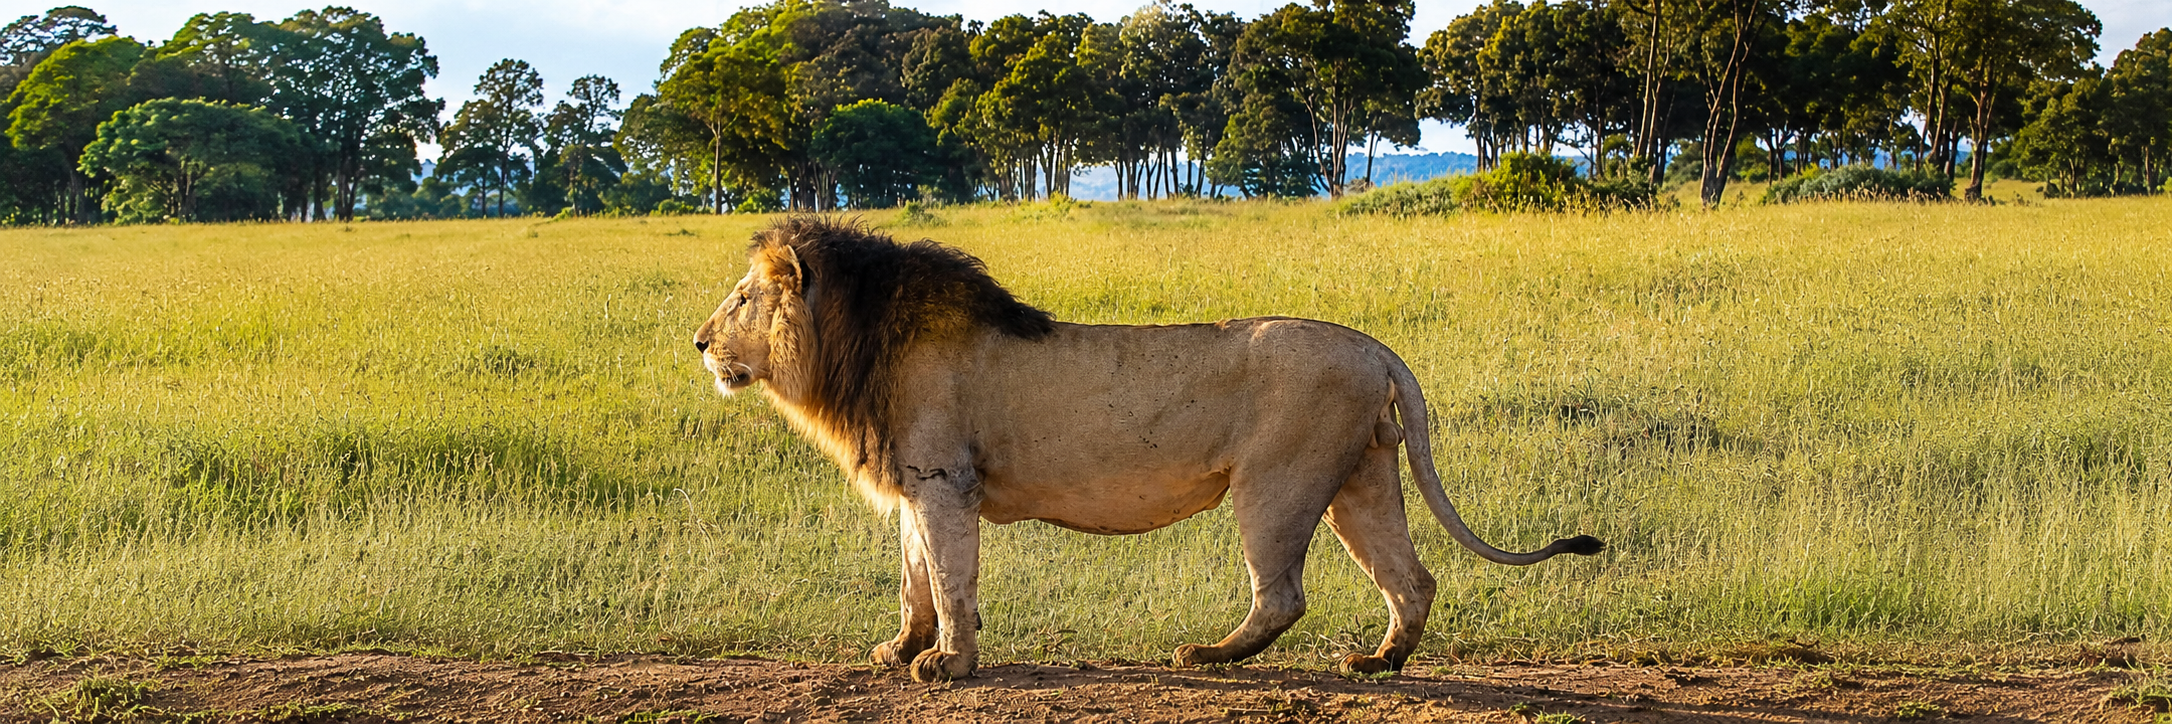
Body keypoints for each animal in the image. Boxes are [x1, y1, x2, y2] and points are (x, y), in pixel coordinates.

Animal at [693, 217, 1603, 682]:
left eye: (740, 299)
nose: (699, 343)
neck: (856, 341)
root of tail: (1374, 347)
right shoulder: (919, 486)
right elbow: (916, 579)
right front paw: (900, 650)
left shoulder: (944, 480)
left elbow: (950, 583)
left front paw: (949, 664)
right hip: (1363, 478)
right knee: (1412, 580)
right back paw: (1377, 663)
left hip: (1278, 482)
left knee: (1284, 594)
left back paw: (1210, 655)